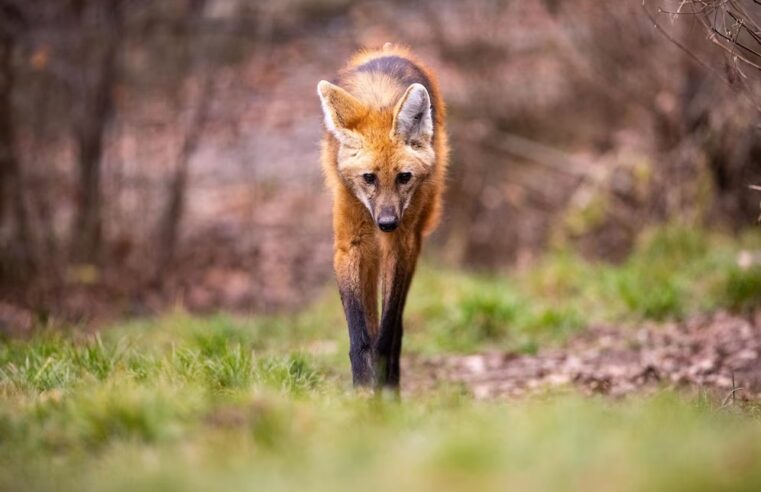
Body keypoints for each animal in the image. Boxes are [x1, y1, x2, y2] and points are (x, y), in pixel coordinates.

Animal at [316, 44, 448, 388]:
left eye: (404, 177)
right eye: (369, 178)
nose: (387, 223)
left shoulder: (400, 243)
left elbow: (387, 335)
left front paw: (384, 387)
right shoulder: (351, 240)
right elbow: (360, 335)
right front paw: (363, 386)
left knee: (396, 325)